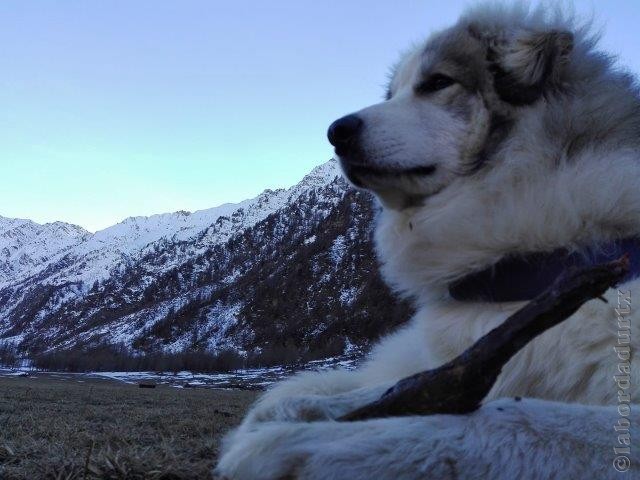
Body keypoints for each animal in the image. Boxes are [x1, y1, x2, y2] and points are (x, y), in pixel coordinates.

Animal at [218, 3, 636, 480]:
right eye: (391, 93)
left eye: (437, 83)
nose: (336, 132)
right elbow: (390, 390)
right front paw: (291, 412)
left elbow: (508, 418)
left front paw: (300, 444)